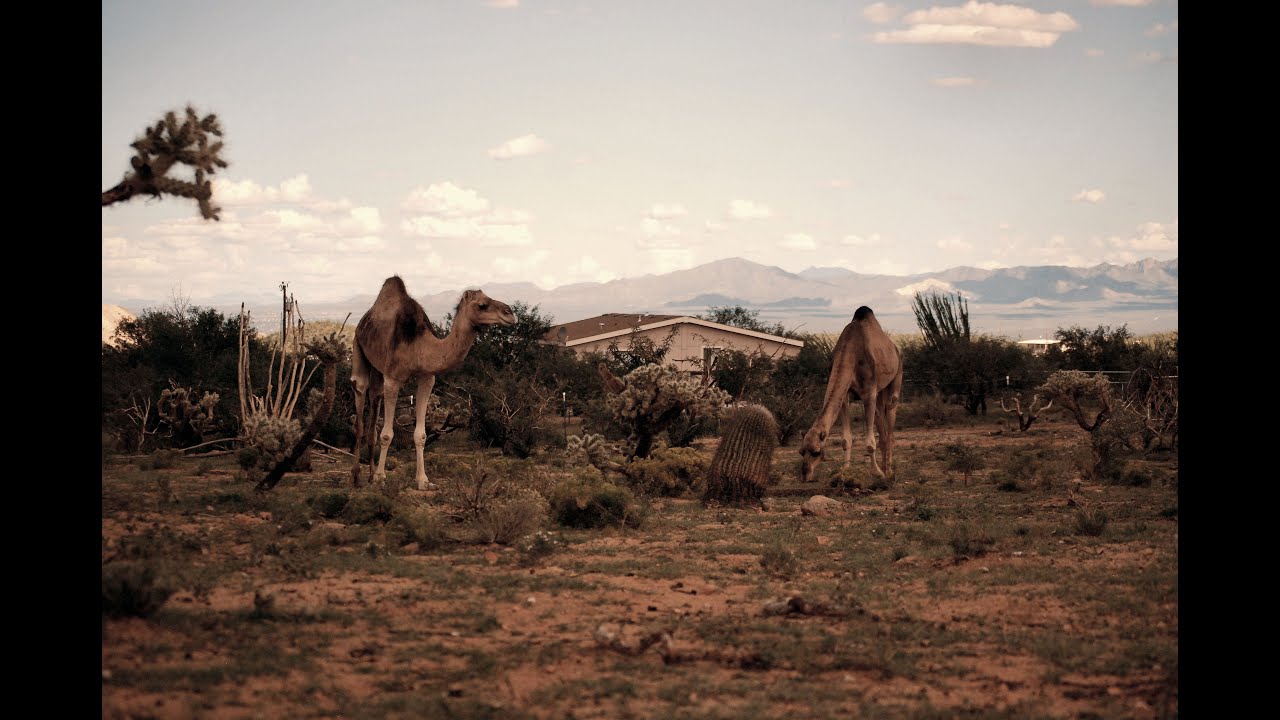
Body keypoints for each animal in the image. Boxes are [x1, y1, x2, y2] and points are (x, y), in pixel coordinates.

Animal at [350, 276, 516, 489]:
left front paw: (423, 481)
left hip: (378, 370)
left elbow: (420, 435)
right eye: (482, 305)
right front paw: (381, 477)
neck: (418, 346)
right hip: (358, 345)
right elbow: (387, 434)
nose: (510, 314)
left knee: (374, 398)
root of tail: (364, 320)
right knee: (360, 395)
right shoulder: (393, 379)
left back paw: (370, 474)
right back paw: (357, 476)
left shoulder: (427, 378)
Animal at [799, 306, 903, 481]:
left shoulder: (869, 392)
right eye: (801, 452)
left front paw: (876, 472)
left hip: (896, 378)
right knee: (882, 429)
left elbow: (870, 442)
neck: (850, 351)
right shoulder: (845, 396)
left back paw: (889, 471)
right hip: (880, 393)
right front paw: (844, 471)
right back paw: (884, 468)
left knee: (890, 428)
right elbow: (846, 439)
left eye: (816, 452)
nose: (805, 474)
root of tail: (895, 349)